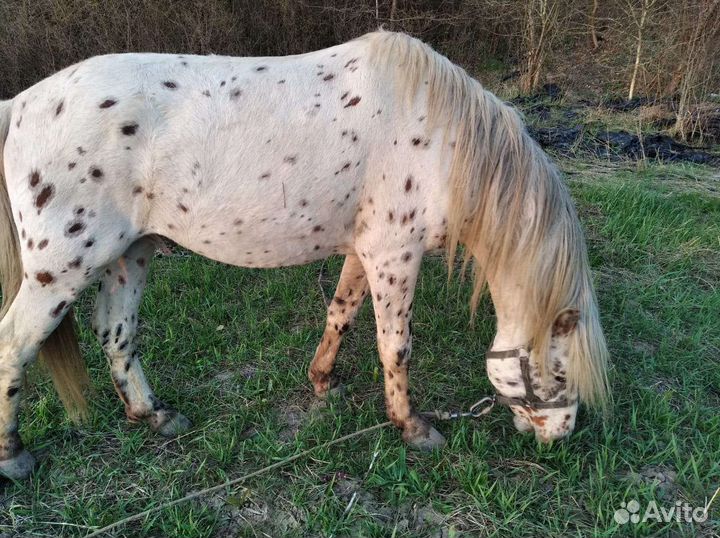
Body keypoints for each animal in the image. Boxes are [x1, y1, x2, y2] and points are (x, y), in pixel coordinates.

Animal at [0, 31, 609, 480]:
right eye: (559, 371)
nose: (559, 437)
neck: (441, 139)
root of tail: (20, 104)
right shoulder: (394, 256)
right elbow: (396, 347)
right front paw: (412, 428)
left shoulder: (364, 252)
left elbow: (340, 313)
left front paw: (322, 381)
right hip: (61, 270)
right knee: (14, 346)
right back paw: (15, 457)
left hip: (131, 253)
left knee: (116, 333)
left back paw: (154, 415)